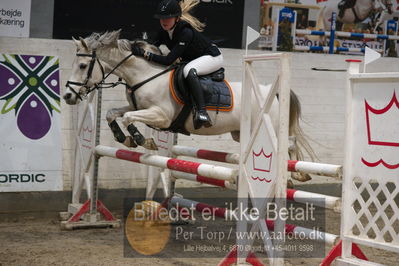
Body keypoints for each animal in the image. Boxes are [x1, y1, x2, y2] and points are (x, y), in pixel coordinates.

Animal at [63, 30, 316, 181]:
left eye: (83, 66)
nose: (68, 96)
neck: (145, 74)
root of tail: (271, 92)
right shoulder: (139, 108)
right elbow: (112, 113)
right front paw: (123, 138)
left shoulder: (161, 116)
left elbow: (127, 119)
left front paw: (142, 139)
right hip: (242, 133)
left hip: (264, 126)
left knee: (289, 142)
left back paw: (299, 175)